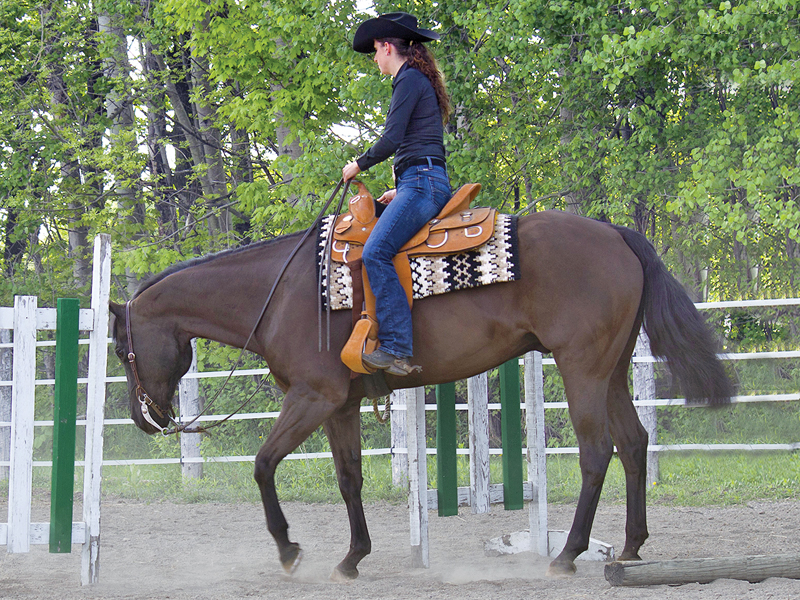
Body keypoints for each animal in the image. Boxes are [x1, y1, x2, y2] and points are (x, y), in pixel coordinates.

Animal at [109, 208, 732, 580]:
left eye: (120, 349)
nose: (147, 419)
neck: (281, 293)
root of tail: (616, 234)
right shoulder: (339, 404)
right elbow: (349, 478)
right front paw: (353, 557)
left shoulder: (312, 397)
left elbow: (263, 464)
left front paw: (288, 550)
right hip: (611, 371)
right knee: (634, 443)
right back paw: (629, 548)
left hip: (583, 367)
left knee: (597, 451)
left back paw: (568, 552)